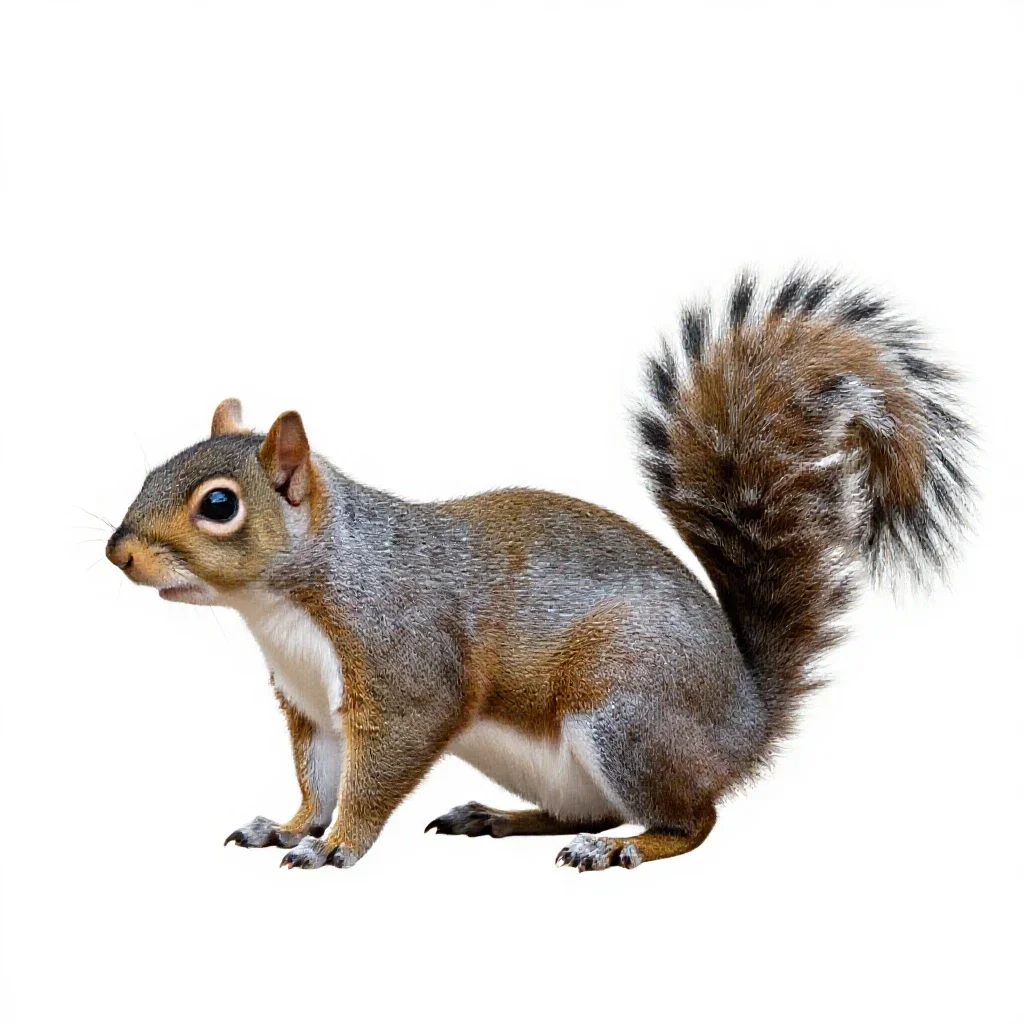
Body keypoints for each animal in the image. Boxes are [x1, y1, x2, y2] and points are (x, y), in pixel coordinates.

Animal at [106, 270, 974, 872]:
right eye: (152, 471)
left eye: (219, 505)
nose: (118, 554)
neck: (282, 606)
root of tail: (746, 723)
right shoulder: (310, 706)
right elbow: (318, 779)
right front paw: (286, 826)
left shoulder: (403, 666)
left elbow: (373, 774)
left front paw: (335, 845)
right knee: (583, 810)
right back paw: (502, 819)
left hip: (628, 716)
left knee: (692, 820)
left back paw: (627, 848)